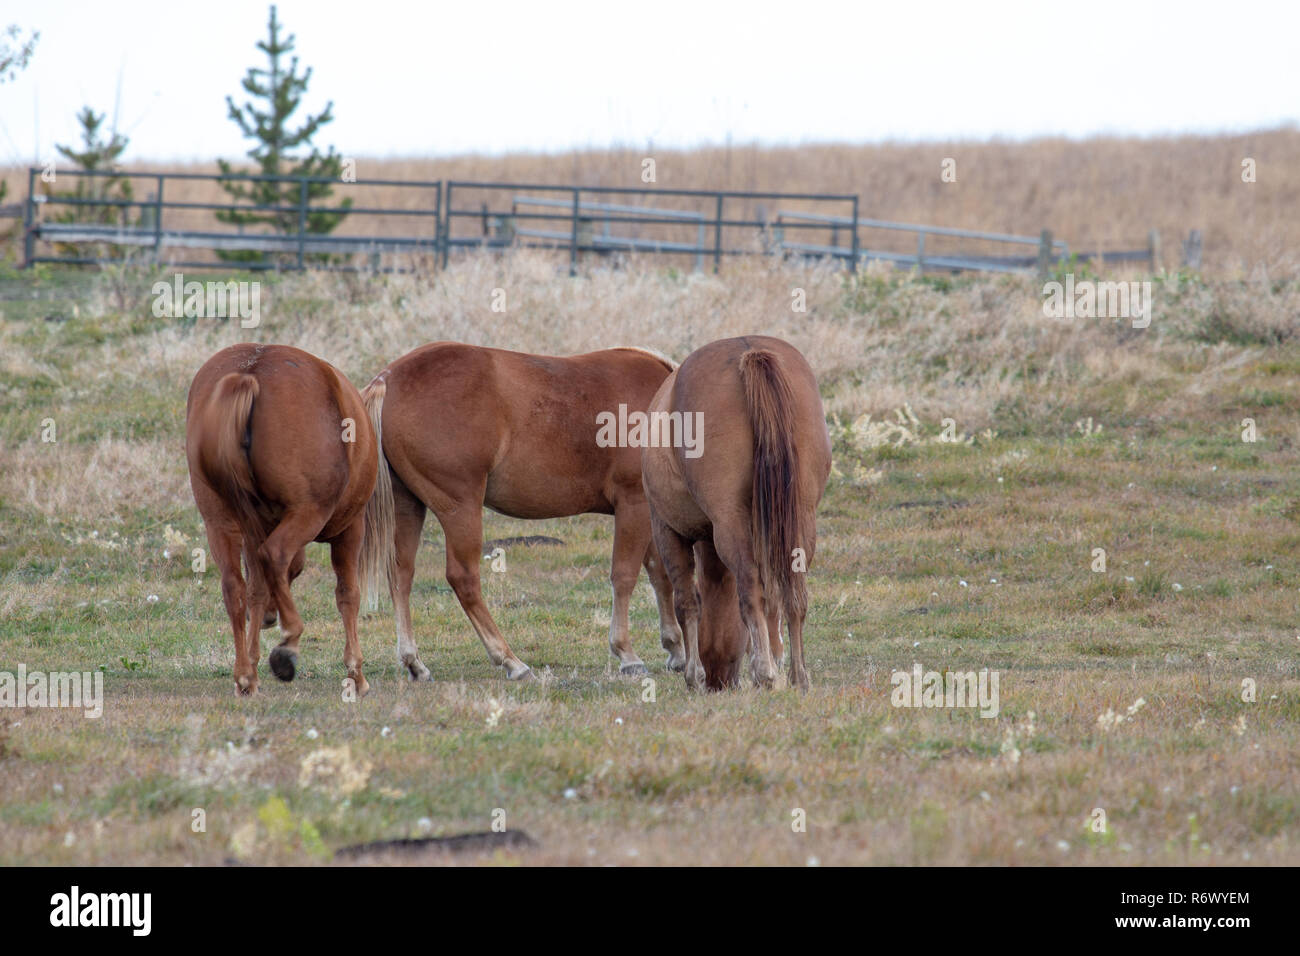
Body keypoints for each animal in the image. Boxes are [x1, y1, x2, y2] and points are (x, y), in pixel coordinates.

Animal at [185, 343, 378, 697]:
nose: (268, 620)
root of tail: (250, 372)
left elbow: (257, 588)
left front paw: (251, 664)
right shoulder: (350, 529)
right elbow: (348, 595)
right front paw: (355, 674)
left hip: (219, 520)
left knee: (234, 587)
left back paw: (244, 673)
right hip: (307, 514)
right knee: (273, 555)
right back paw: (288, 643)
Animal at [358, 343, 684, 681]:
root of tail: (388, 379)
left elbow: (661, 575)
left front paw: (676, 650)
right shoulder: (633, 504)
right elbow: (624, 576)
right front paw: (627, 654)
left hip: (408, 507)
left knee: (401, 575)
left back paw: (415, 662)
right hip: (460, 508)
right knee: (464, 578)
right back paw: (510, 660)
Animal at [641, 335, 831, 692]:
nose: (720, 681)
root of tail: (750, 351)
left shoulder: (667, 531)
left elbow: (687, 602)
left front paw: (693, 675)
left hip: (729, 525)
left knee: (750, 590)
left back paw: (765, 673)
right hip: (800, 521)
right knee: (794, 594)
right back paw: (797, 676)